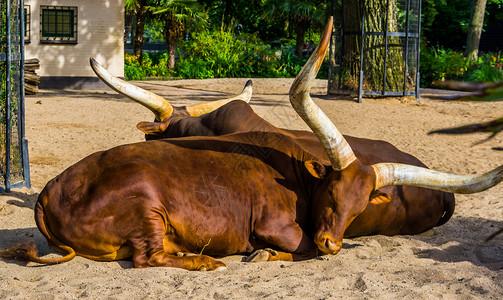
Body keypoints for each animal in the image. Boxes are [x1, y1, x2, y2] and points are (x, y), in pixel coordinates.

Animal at [0, 17, 503, 270]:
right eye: (333, 194)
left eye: (362, 206)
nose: (334, 243)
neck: (298, 175)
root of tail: (46, 193)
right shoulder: (281, 225)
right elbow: (296, 245)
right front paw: (264, 252)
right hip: (146, 210)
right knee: (147, 257)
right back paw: (207, 262)